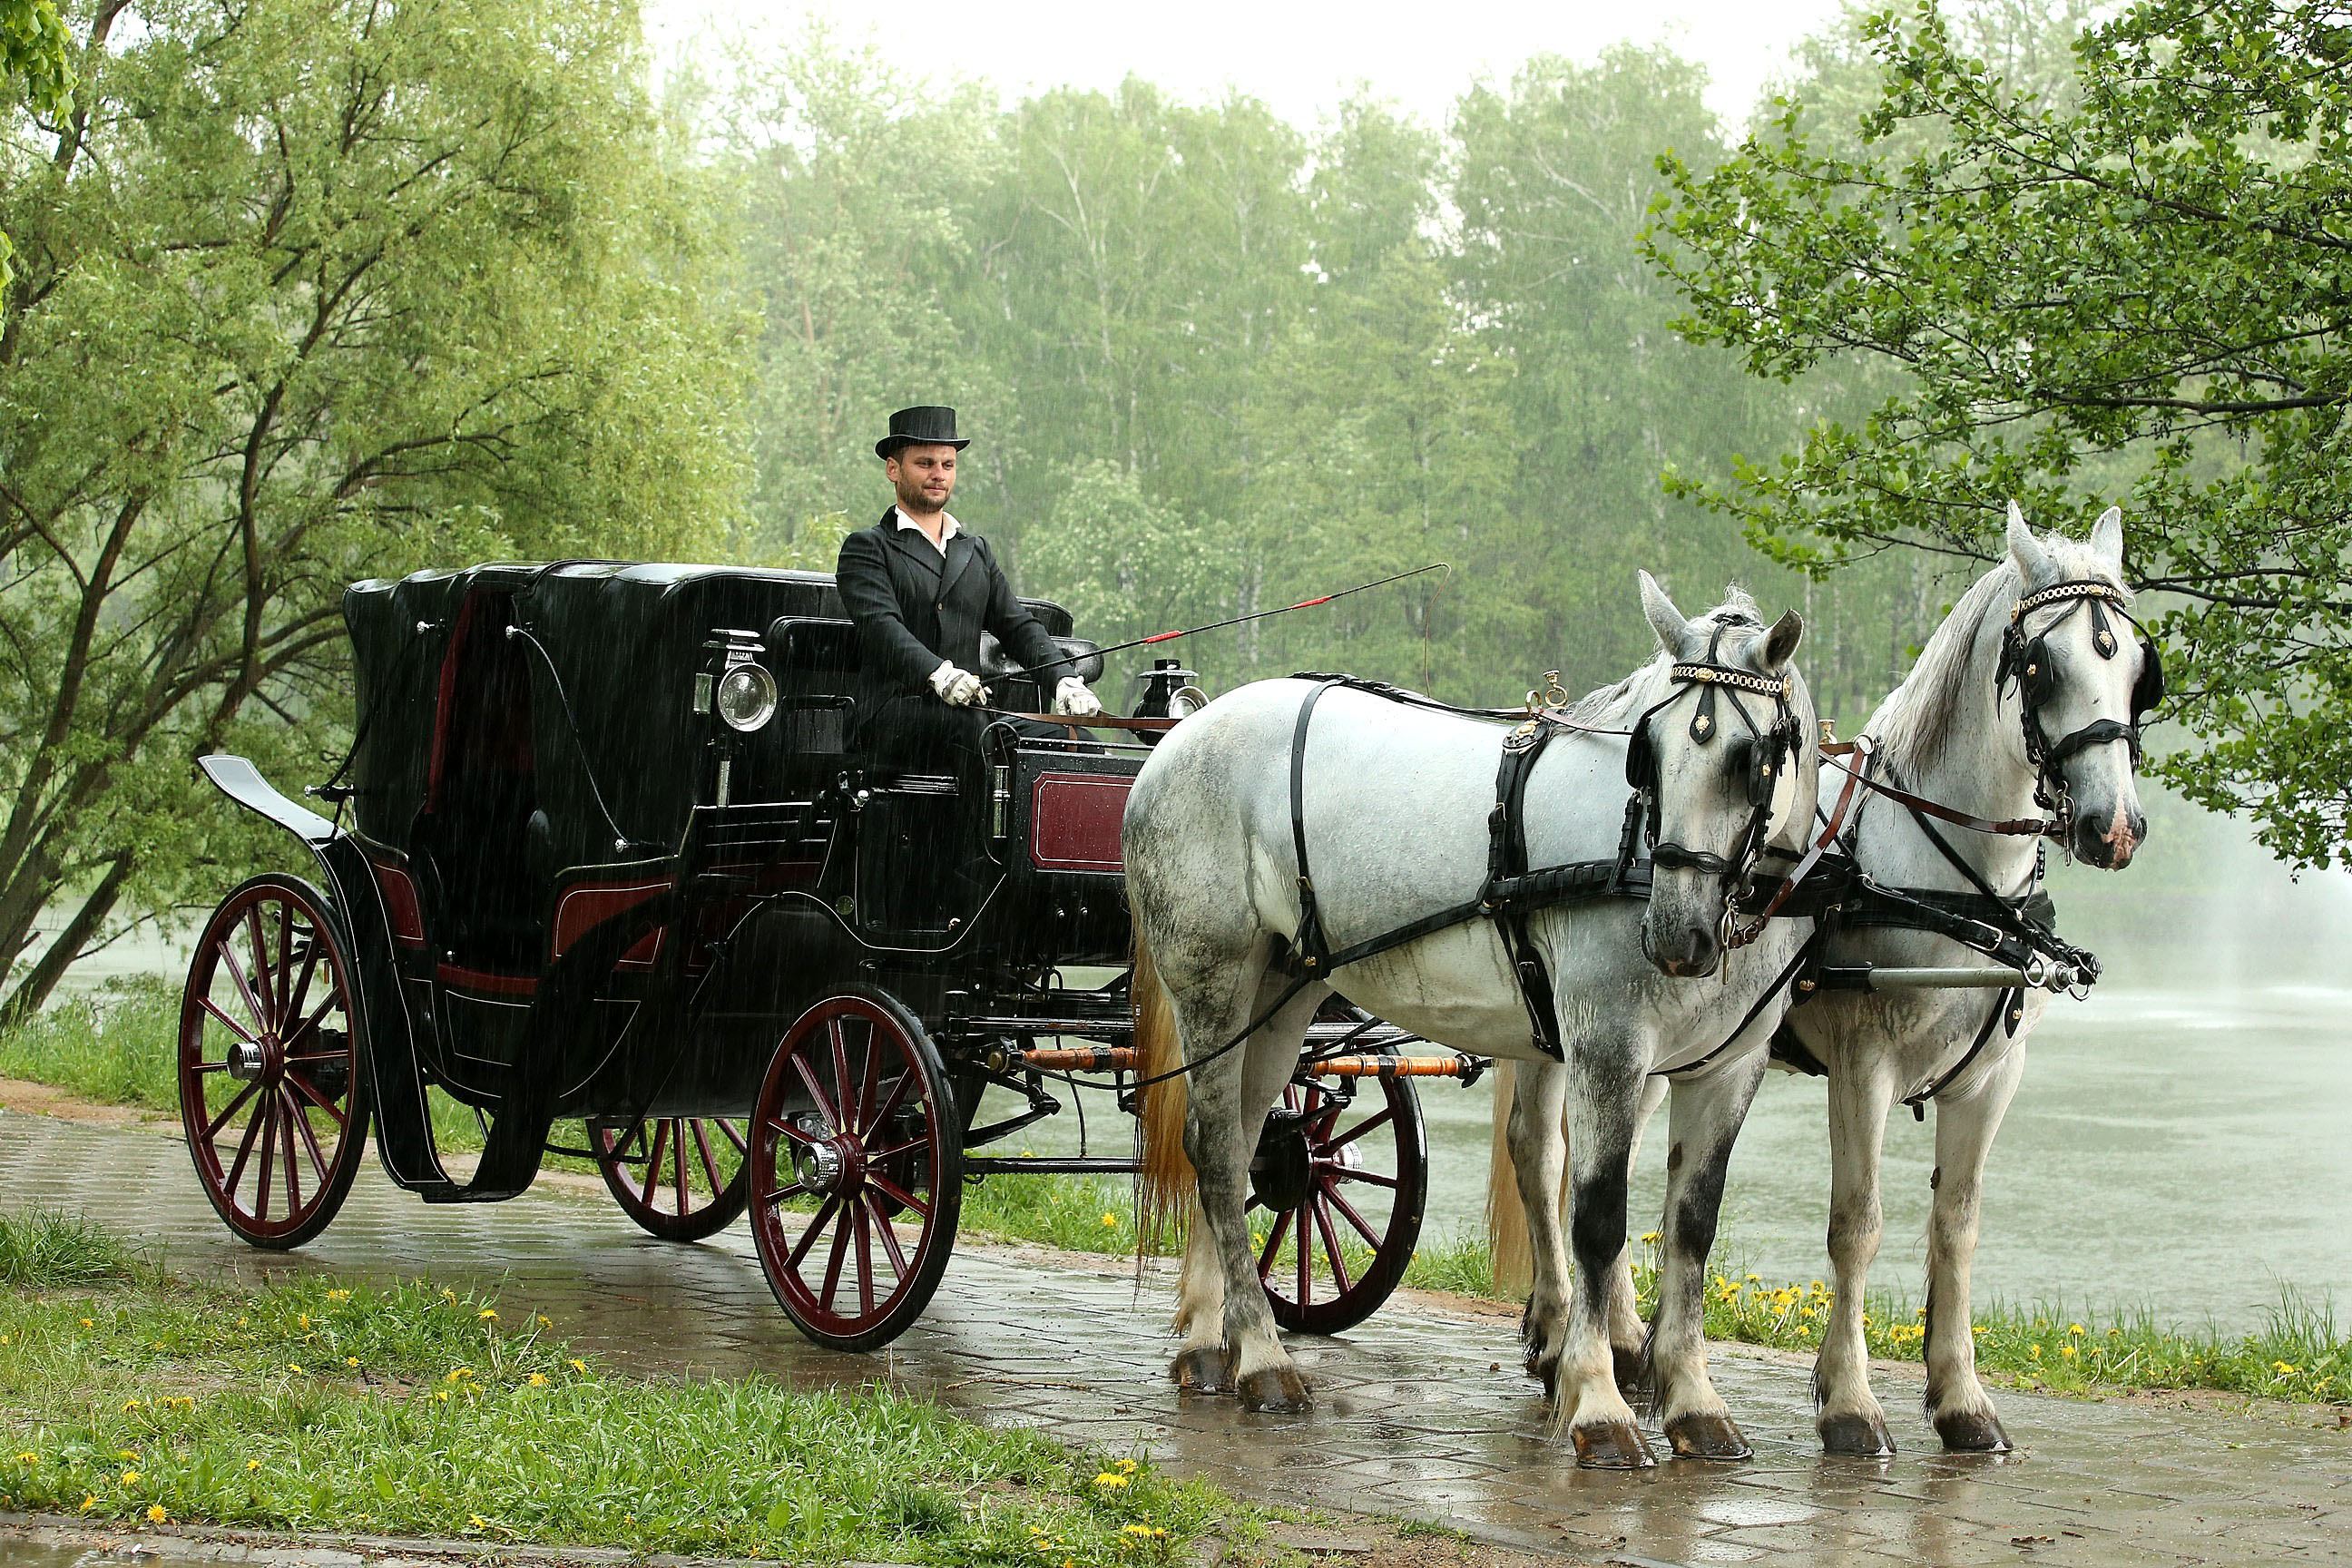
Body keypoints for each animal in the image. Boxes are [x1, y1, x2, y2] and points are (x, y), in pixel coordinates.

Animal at [1119, 575, 1816, 1475]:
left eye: (1749, 759)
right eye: (1648, 754)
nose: (1675, 934)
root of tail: (1180, 738)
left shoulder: (1729, 1070)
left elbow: (1691, 1230)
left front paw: (1695, 1403)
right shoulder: (1608, 1050)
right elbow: (1598, 1221)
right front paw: (1599, 1404)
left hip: (1283, 992)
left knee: (1232, 1149)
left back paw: (1212, 1344)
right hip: (1213, 980)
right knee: (1212, 1152)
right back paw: (1264, 1359)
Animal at [1495, 503, 2154, 1457]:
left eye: (2137, 666)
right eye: (2044, 663)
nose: (2115, 826)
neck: (1947, 874)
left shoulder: (1992, 1080)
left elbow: (1957, 1228)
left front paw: (1961, 1398)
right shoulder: (1863, 1066)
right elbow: (1858, 1225)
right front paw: (1849, 1401)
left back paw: (1624, 1344)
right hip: (1565, 1034)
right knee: (1543, 1155)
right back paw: (1561, 1337)